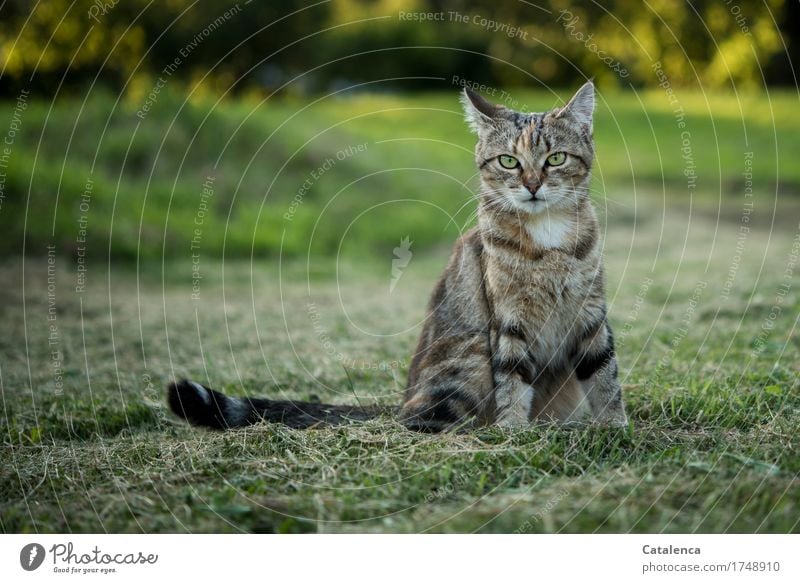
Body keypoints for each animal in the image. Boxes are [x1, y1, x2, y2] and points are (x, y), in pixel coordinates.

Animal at [169, 84, 628, 436]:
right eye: (508, 162)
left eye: (556, 158)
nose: (532, 186)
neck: (547, 238)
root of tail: (402, 400)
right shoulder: (508, 321)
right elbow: (513, 380)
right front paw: (513, 432)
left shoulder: (591, 312)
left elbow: (604, 374)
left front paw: (615, 427)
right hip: (469, 357)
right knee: (424, 422)